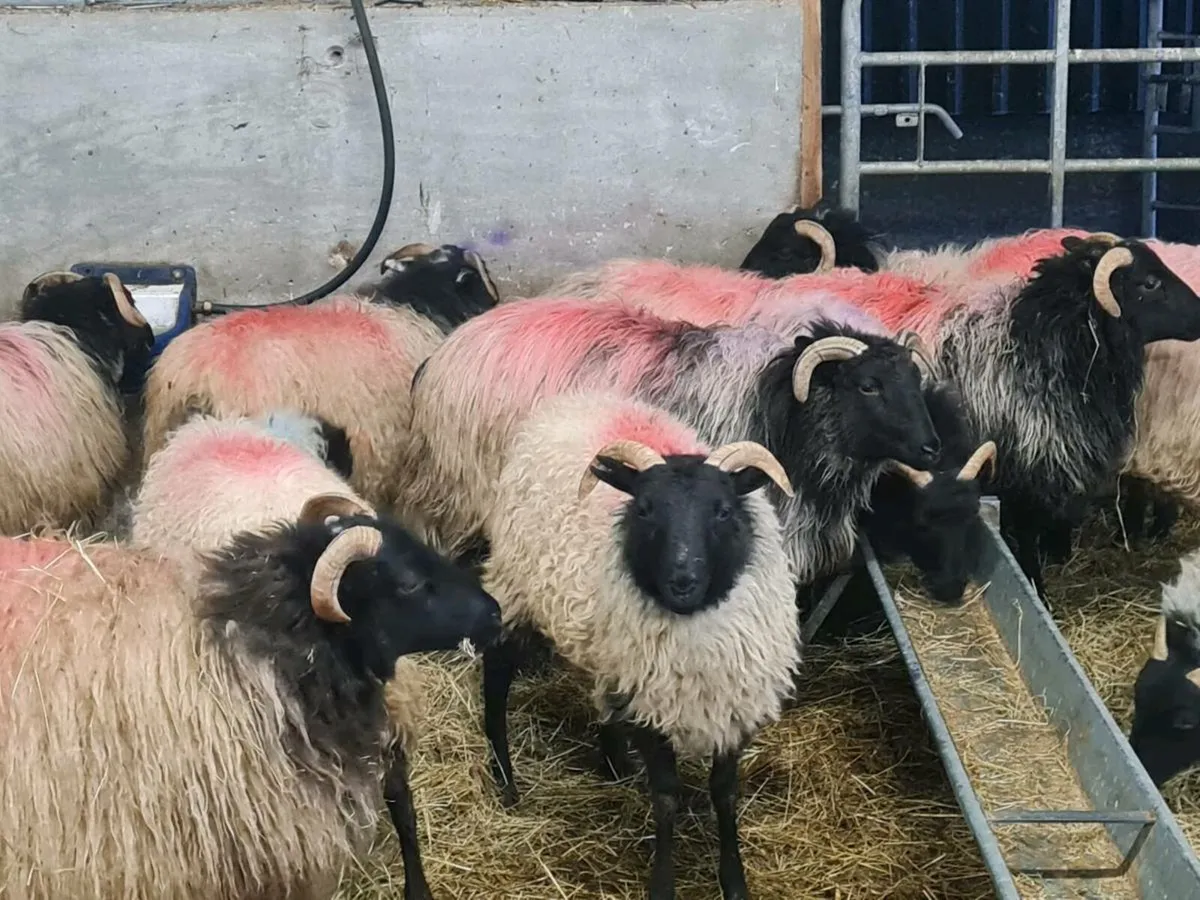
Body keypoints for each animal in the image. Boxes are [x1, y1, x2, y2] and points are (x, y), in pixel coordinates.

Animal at [480, 391, 800, 900]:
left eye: (723, 510)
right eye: (646, 509)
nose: (682, 580)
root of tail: (579, 398)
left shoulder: (734, 704)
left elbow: (726, 792)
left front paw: (734, 881)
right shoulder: (649, 706)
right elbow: (666, 797)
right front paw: (663, 884)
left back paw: (613, 761)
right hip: (516, 582)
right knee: (496, 671)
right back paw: (506, 781)